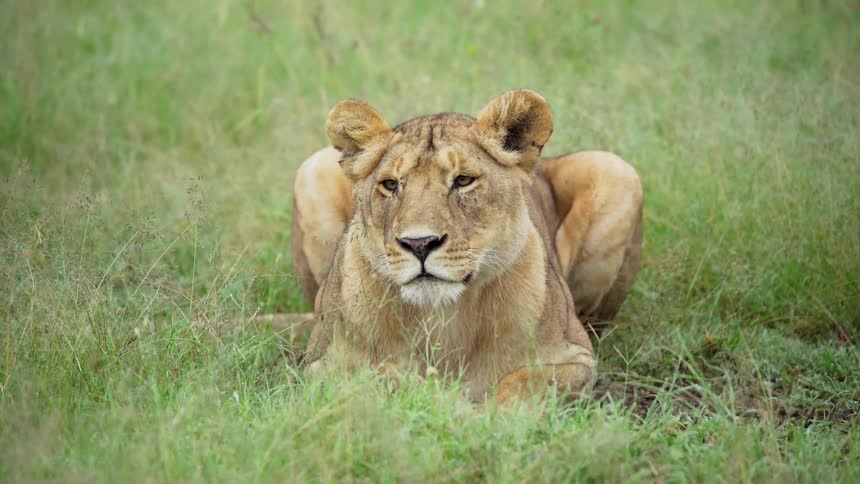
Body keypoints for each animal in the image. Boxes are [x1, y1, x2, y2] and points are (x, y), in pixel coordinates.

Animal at [290, 90, 643, 403]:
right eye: (390, 185)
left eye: (463, 180)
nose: (419, 243)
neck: (443, 318)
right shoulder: (322, 366)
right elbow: (390, 378)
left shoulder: (577, 358)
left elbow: (522, 382)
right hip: (311, 169)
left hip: (616, 170)